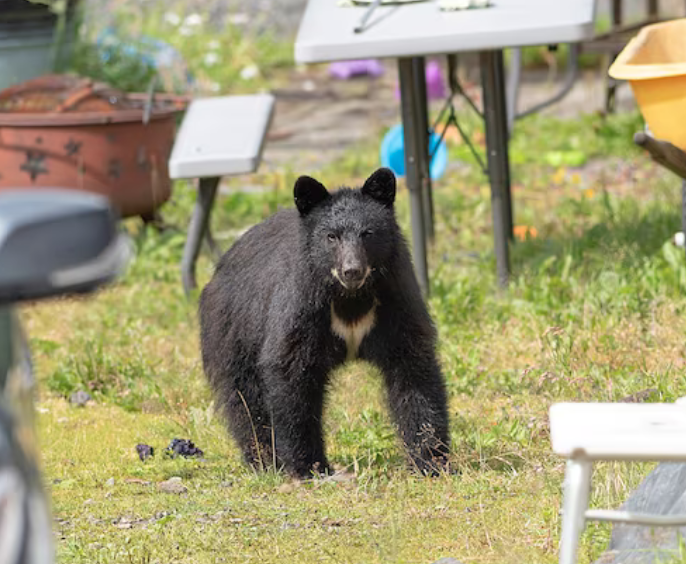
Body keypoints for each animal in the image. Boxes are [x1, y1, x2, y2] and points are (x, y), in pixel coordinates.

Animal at [199, 166, 452, 476]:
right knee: (245, 398)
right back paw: (264, 459)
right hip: (234, 328)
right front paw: (308, 465)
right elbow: (291, 373)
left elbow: (413, 370)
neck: (350, 298)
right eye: (332, 236)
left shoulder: (395, 298)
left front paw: (431, 461)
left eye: (368, 233)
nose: (352, 270)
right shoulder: (301, 305)